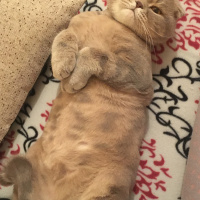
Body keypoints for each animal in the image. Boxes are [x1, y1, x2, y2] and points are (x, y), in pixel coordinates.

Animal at [0, 0, 184, 199]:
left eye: (156, 10)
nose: (139, 3)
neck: (112, 23)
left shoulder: (138, 75)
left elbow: (94, 53)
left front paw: (73, 80)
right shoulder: (73, 25)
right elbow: (63, 35)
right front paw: (62, 65)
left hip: (109, 187)